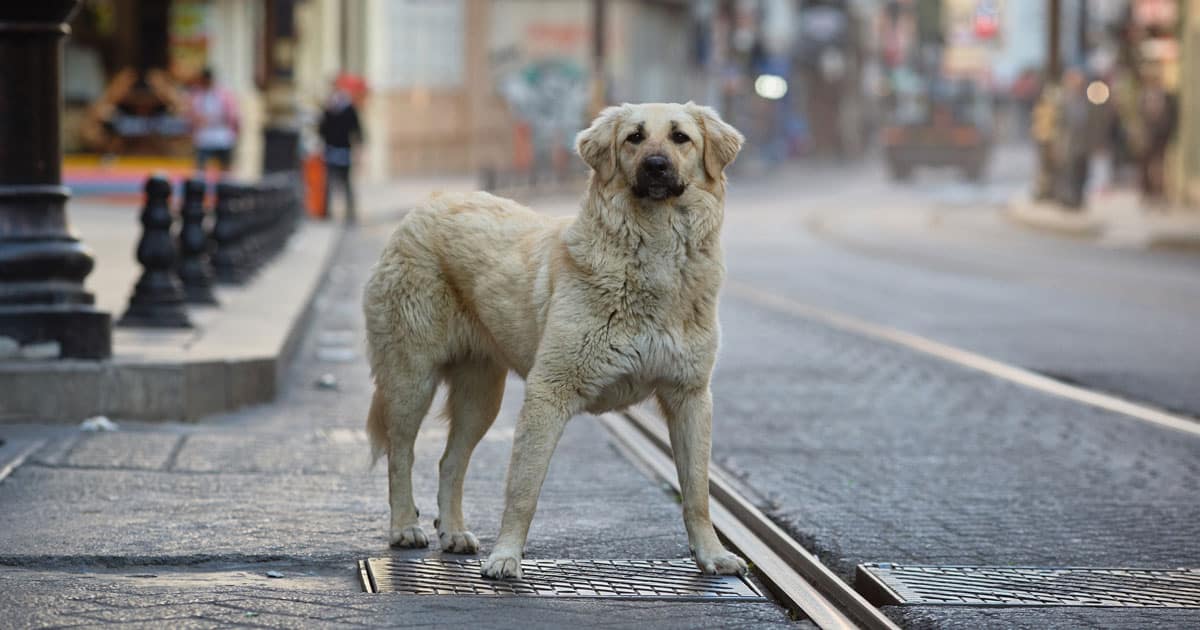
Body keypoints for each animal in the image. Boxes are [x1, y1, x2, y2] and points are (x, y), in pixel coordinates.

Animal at [360, 100, 744, 578]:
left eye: (680, 138)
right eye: (634, 138)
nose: (655, 166)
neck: (651, 254)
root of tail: (427, 204)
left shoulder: (690, 398)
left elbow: (696, 493)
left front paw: (712, 555)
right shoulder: (549, 393)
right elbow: (523, 489)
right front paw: (506, 557)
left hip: (480, 397)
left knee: (450, 462)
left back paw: (453, 532)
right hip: (411, 379)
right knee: (401, 453)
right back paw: (404, 527)